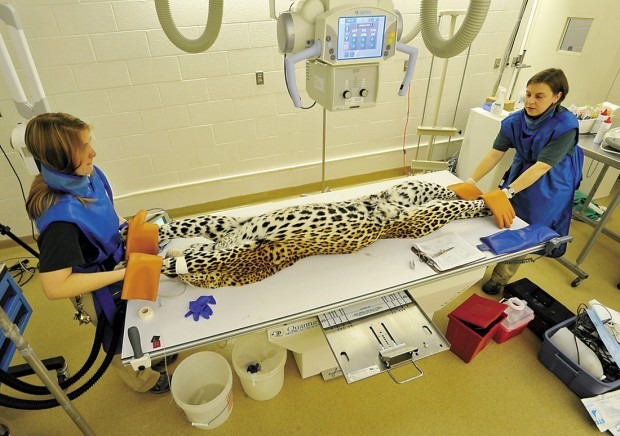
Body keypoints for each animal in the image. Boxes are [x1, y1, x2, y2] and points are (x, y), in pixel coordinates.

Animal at [153, 179, 492, 288]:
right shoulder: (226, 229)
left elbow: (175, 245)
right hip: (412, 195)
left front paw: (147, 237)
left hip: (423, 209)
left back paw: (492, 199)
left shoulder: (227, 236)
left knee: (459, 202)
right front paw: (153, 233)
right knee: (451, 194)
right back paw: (483, 196)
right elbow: (186, 228)